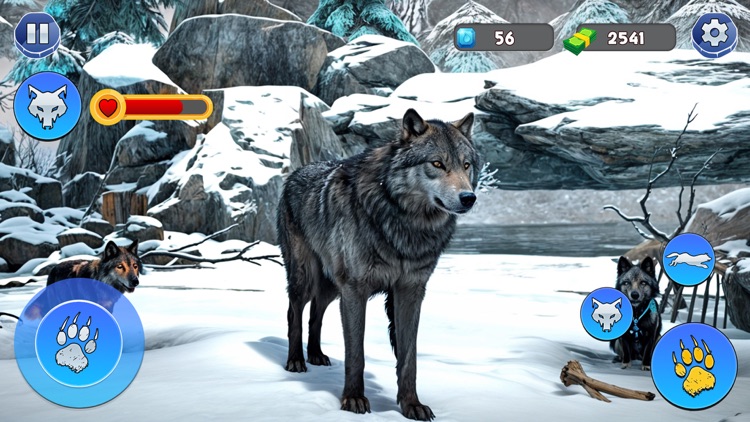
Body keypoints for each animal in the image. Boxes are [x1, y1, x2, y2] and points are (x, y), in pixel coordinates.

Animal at [278, 108, 478, 420]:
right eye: (437, 163)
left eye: (466, 165)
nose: (468, 198)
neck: (407, 225)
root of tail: (297, 171)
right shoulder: (354, 290)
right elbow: (355, 354)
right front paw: (353, 400)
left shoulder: (410, 291)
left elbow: (409, 358)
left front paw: (411, 405)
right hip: (305, 277)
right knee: (294, 313)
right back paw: (297, 361)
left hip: (331, 286)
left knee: (315, 314)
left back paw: (316, 356)